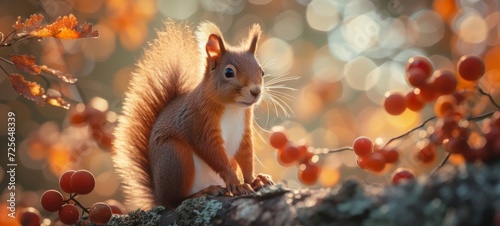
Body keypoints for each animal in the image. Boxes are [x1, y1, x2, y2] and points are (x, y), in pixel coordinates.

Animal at [112, 20, 274, 209]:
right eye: (229, 72)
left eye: (262, 71)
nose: (256, 91)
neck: (233, 108)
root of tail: (158, 196)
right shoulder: (198, 122)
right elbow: (212, 152)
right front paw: (237, 183)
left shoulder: (243, 131)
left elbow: (246, 157)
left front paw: (254, 180)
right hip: (176, 157)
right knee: (175, 200)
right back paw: (203, 192)